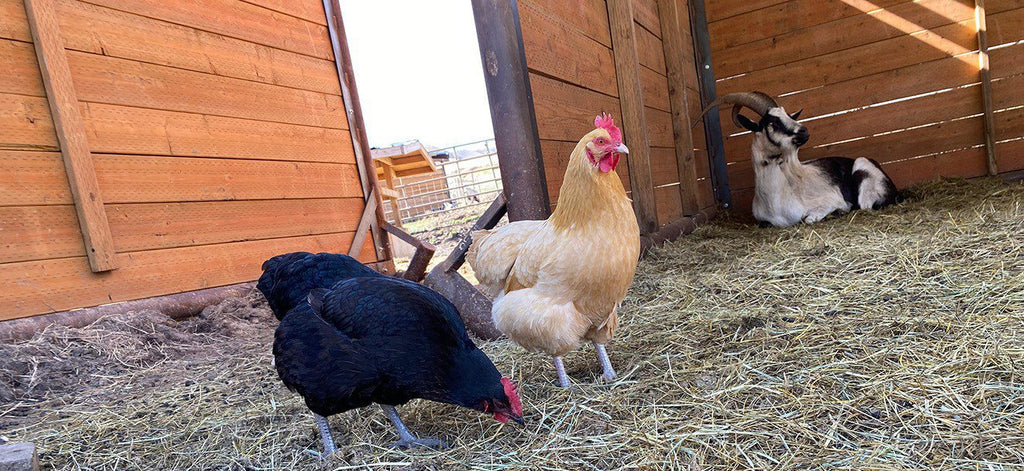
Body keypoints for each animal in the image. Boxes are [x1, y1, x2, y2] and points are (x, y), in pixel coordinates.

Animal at [700, 92, 898, 227]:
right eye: (772, 122)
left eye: (788, 115)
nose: (804, 131)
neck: (776, 200)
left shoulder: (832, 201)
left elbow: (809, 218)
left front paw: (838, 212)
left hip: (863, 172)